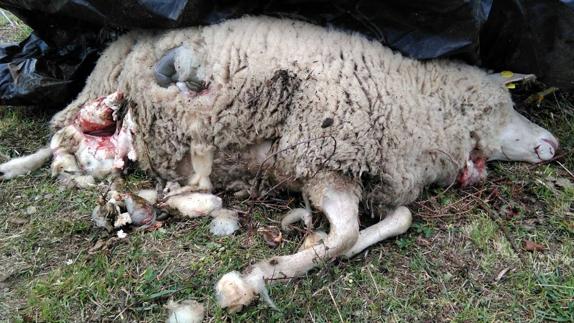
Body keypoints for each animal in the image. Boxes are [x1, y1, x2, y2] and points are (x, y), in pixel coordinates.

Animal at [0, 15, 560, 314]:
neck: (414, 103)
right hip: (99, 87)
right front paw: (265, 273)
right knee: (56, 139)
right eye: (504, 107)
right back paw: (17, 167)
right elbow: (345, 235)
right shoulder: (321, 160)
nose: (553, 143)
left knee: (70, 146)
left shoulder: (354, 174)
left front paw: (305, 248)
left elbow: (397, 219)